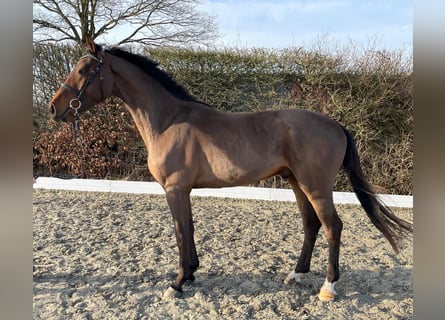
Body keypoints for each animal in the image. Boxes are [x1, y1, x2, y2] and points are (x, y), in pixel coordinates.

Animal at [46, 38, 412, 302]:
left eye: (84, 70)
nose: (53, 108)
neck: (169, 121)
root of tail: (337, 125)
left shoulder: (174, 189)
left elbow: (180, 232)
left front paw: (177, 283)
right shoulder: (184, 190)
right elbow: (189, 229)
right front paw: (191, 273)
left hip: (316, 184)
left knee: (332, 226)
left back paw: (328, 287)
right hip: (296, 181)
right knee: (311, 225)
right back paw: (296, 274)